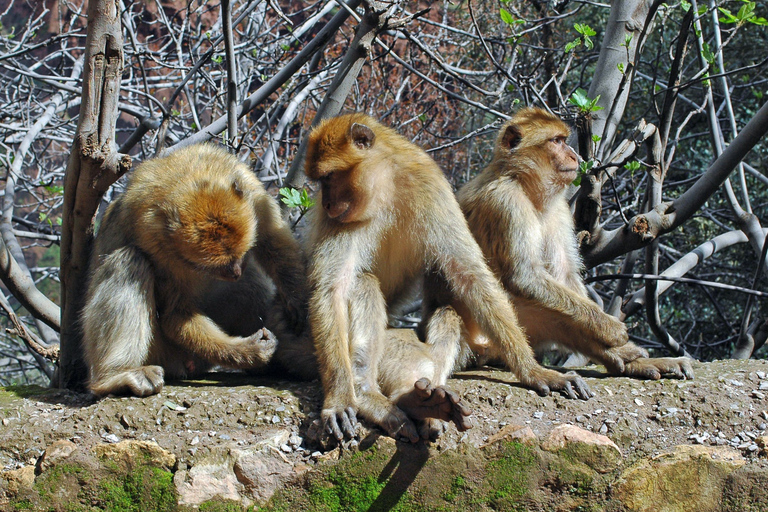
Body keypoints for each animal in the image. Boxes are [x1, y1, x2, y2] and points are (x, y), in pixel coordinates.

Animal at [82, 142, 316, 398]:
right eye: (213, 266)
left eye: (242, 254)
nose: (235, 272)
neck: (187, 177)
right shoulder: (153, 237)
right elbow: (176, 313)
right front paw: (248, 351)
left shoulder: (249, 186)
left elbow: (273, 239)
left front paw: (297, 299)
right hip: (164, 352)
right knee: (129, 261)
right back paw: (115, 376)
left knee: (249, 283)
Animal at [304, 114, 596, 442]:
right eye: (321, 181)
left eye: (329, 177)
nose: (326, 204)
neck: (385, 187)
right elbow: (332, 290)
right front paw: (340, 398)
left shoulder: (430, 187)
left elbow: (469, 273)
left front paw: (533, 371)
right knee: (364, 282)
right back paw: (367, 393)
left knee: (442, 315)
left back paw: (418, 402)